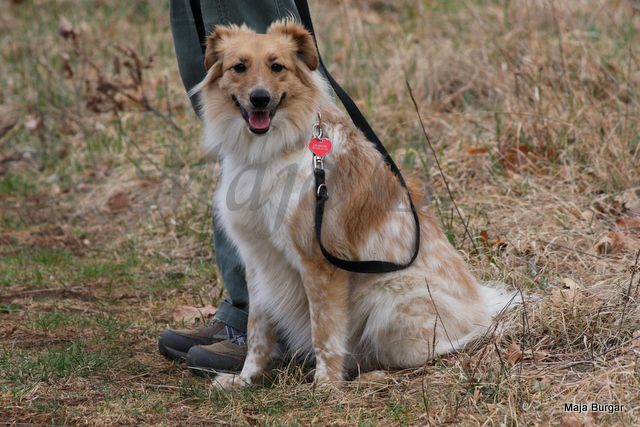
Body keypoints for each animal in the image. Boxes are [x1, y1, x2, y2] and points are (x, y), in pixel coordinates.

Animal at [191, 20, 516, 392]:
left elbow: (325, 331)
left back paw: (370, 376)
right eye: (239, 67)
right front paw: (246, 379)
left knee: (433, 351)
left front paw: (326, 386)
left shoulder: (319, 261)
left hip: (388, 296)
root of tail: (481, 309)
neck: (273, 148)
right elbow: (258, 329)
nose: (260, 98)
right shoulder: (259, 258)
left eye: (277, 67)